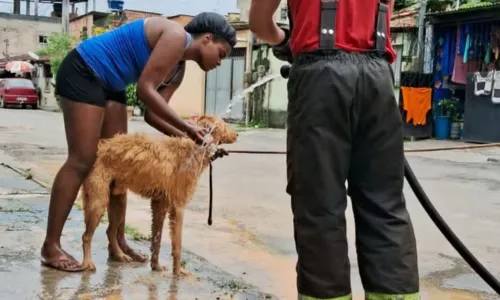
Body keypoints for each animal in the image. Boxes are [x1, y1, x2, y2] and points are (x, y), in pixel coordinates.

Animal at [80, 115, 238, 274]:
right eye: (224, 126)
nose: (237, 134)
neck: (195, 149)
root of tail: (101, 147)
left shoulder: (160, 205)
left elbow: (157, 238)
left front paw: (156, 266)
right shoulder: (178, 207)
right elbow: (177, 245)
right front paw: (178, 272)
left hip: (117, 201)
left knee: (110, 231)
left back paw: (120, 255)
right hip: (98, 202)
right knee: (86, 236)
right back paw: (88, 262)